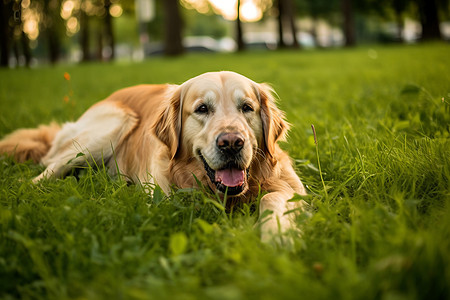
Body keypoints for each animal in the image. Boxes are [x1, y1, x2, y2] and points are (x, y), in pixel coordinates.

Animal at [0, 71, 306, 243]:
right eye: (202, 109)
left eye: (247, 108)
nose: (231, 143)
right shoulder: (163, 202)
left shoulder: (293, 189)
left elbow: (271, 198)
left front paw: (278, 235)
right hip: (113, 125)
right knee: (45, 172)